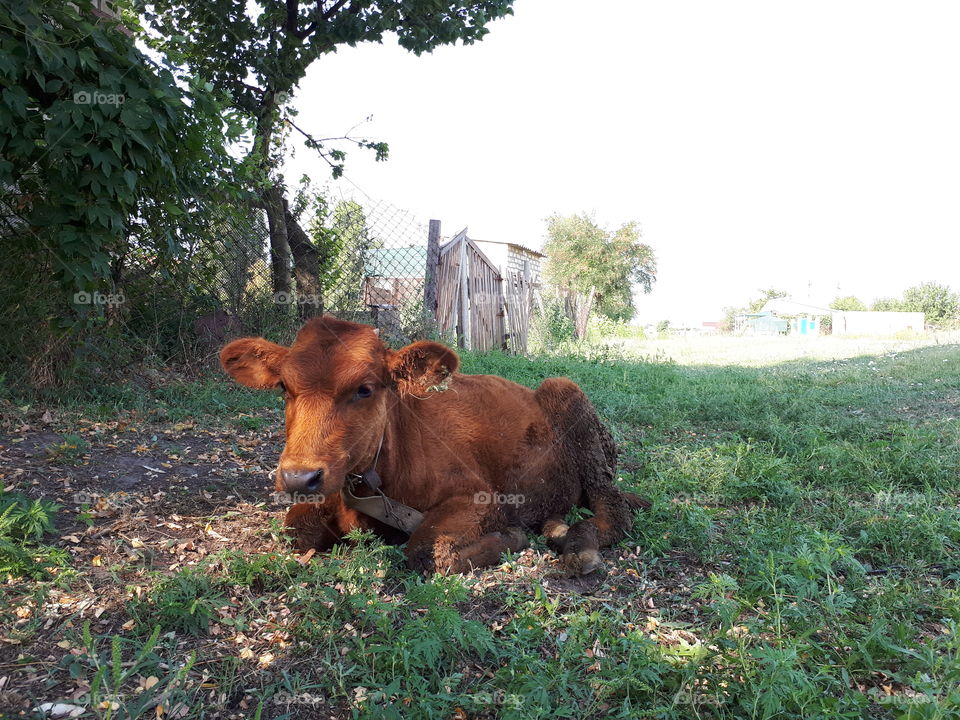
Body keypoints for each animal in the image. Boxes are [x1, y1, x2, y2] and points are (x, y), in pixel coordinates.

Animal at [220, 316, 647, 575]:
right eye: (283, 387)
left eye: (365, 389)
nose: (298, 478)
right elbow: (296, 530)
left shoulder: (481, 498)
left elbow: (426, 549)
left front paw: (511, 536)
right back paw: (556, 527)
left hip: (569, 399)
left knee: (613, 510)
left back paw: (577, 544)